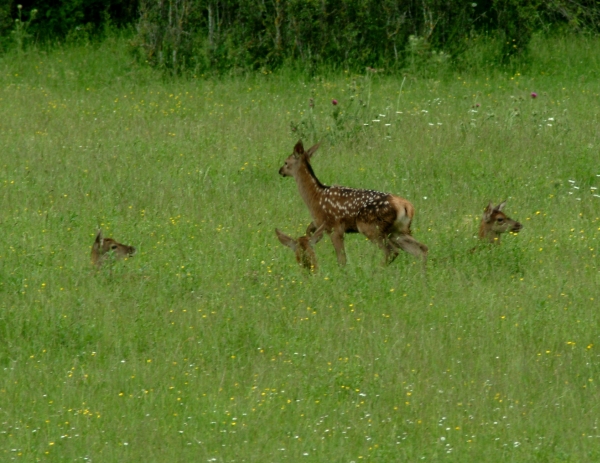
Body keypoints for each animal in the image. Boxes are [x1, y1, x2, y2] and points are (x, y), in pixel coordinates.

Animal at [280, 140, 426, 266]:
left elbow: (342, 259)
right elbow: (308, 230)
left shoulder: (334, 227)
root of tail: (407, 206)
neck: (315, 197)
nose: (280, 170)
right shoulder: (319, 223)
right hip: (398, 230)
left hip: (371, 227)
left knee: (391, 251)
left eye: (286, 162)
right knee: (421, 248)